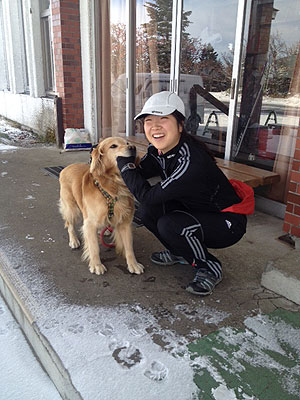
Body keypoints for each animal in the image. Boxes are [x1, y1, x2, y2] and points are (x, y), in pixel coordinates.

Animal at [58, 137, 144, 276]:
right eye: (113, 146)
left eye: (127, 143)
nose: (133, 147)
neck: (113, 186)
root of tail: (66, 168)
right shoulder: (89, 223)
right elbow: (94, 246)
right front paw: (96, 265)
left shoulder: (125, 222)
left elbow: (129, 247)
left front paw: (133, 264)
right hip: (71, 208)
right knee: (69, 225)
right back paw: (74, 240)